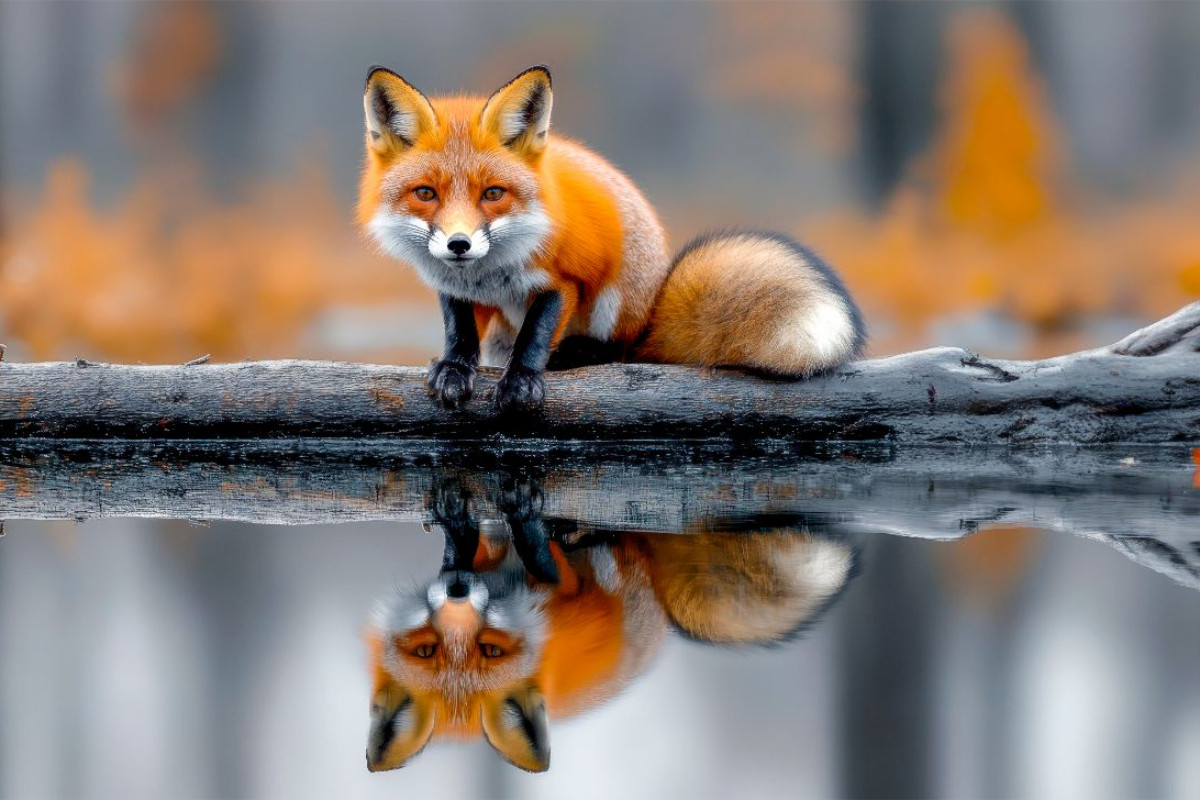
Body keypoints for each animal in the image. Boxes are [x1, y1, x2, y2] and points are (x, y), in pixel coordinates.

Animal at [359, 65, 866, 412]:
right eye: (426, 194)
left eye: (493, 194)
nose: (459, 245)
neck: (487, 275)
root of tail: (651, 312)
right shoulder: (453, 287)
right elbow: (459, 332)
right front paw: (454, 368)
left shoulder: (562, 280)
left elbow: (535, 336)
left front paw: (522, 380)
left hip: (617, 294)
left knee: (620, 353)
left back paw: (577, 355)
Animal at [365, 478, 857, 772]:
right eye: (427, 650)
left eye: (489, 651)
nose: (458, 591)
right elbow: (477, 544)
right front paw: (456, 520)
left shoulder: (568, 591)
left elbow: (543, 558)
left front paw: (521, 513)